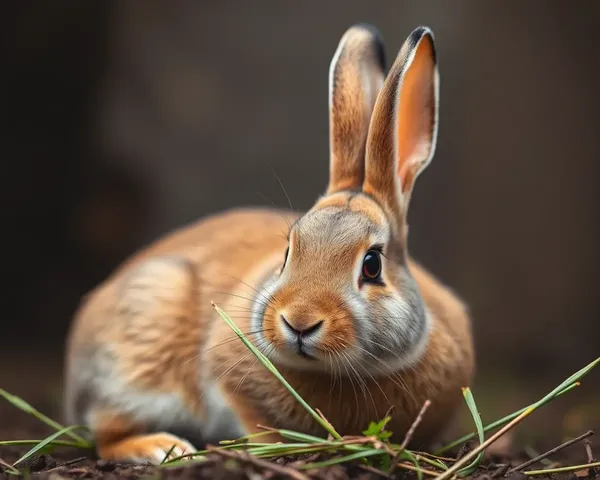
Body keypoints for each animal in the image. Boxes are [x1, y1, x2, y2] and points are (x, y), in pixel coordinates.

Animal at [64, 23, 474, 464]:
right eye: (289, 252)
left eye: (372, 265)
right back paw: (161, 447)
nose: (300, 322)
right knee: (106, 431)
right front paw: (265, 446)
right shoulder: (225, 374)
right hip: (140, 341)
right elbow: (245, 413)